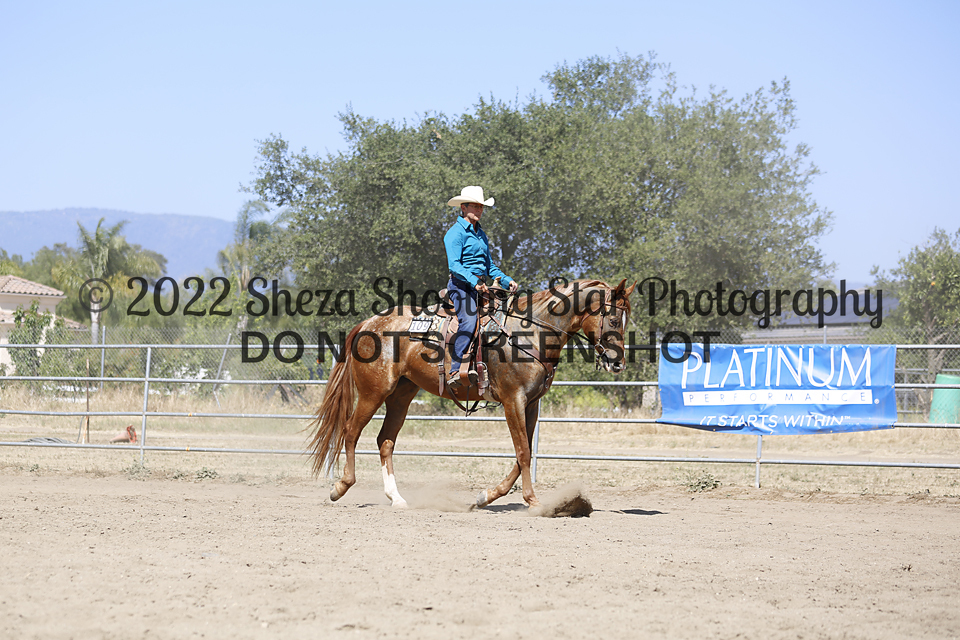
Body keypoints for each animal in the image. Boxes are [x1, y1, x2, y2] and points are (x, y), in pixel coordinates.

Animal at [306, 278, 636, 509]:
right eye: (614, 320)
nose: (618, 362)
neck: (529, 335)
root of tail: (370, 322)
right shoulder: (513, 401)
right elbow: (523, 452)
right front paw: (533, 501)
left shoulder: (531, 404)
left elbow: (523, 453)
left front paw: (486, 496)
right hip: (373, 392)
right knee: (350, 431)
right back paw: (341, 487)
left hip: (401, 394)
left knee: (385, 441)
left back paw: (396, 498)